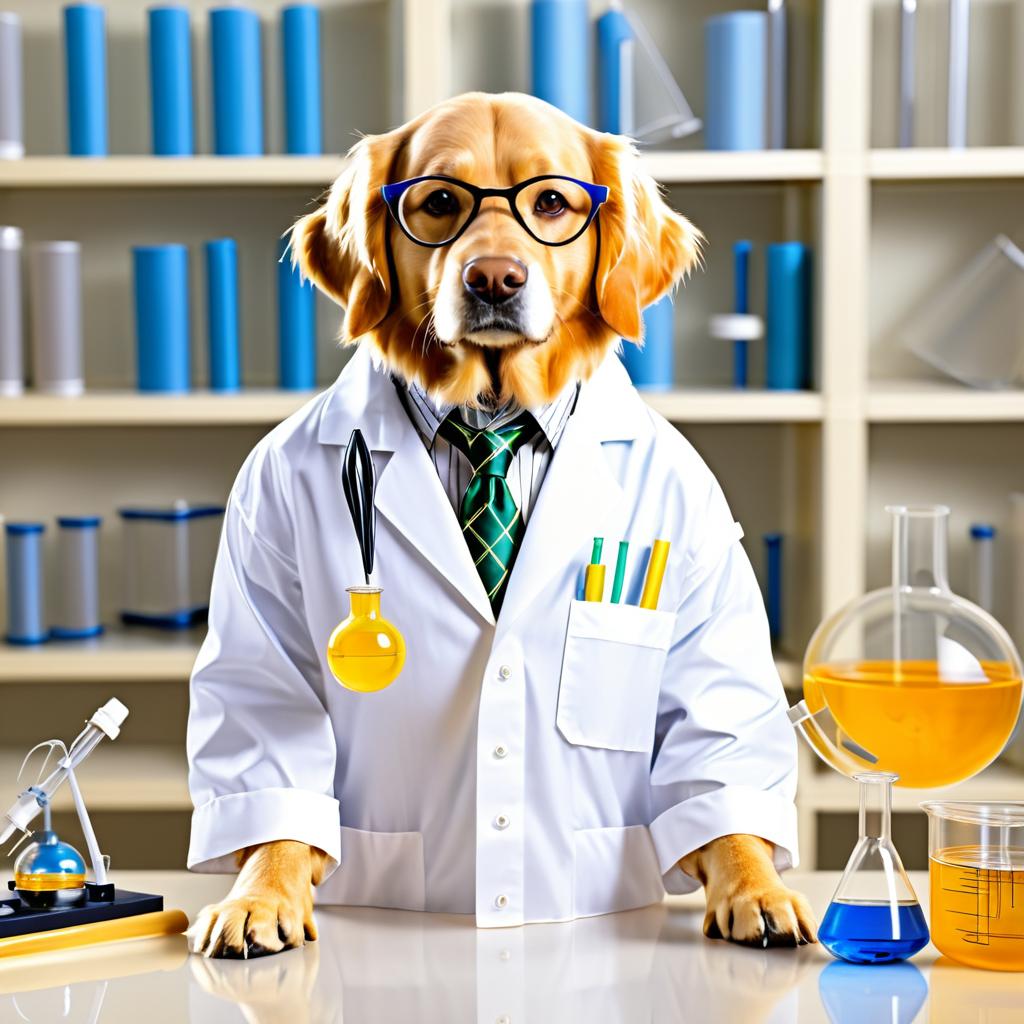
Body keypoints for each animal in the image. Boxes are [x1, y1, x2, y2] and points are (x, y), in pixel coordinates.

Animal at [186, 90, 815, 958]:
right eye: (439, 202)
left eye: (549, 202)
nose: (492, 279)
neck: (492, 415)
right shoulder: (261, 541)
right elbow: (273, 755)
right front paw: (260, 892)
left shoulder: (709, 551)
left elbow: (719, 766)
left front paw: (757, 884)